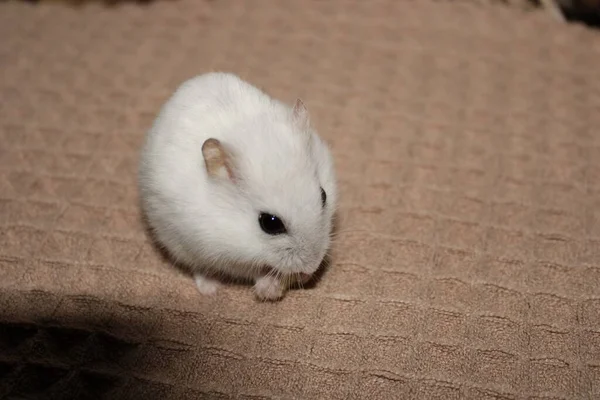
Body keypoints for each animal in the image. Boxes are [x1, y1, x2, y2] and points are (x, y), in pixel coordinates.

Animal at [138, 73, 340, 302]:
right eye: (270, 223)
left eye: (323, 195)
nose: (312, 267)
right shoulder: (219, 251)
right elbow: (250, 270)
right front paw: (270, 287)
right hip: (180, 244)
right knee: (199, 268)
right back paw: (210, 290)